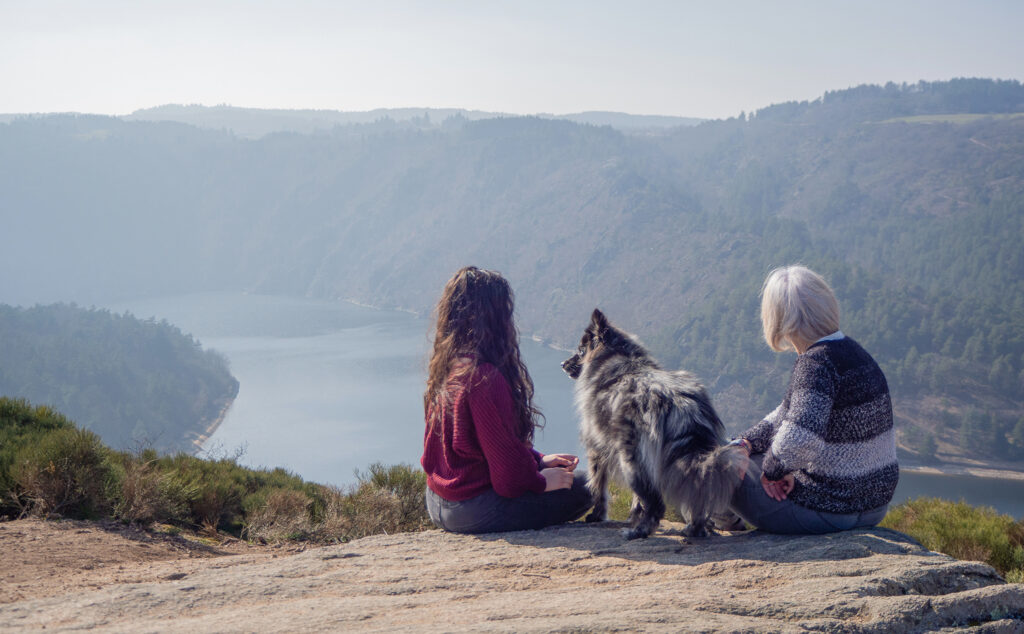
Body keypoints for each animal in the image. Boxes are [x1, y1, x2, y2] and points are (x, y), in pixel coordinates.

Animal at [565, 309, 741, 536]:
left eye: (580, 350)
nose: (562, 364)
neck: (621, 361)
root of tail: (679, 402)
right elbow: (636, 501)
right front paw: (633, 516)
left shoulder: (596, 447)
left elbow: (598, 487)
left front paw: (597, 516)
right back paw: (694, 528)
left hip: (632, 460)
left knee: (655, 502)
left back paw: (640, 531)